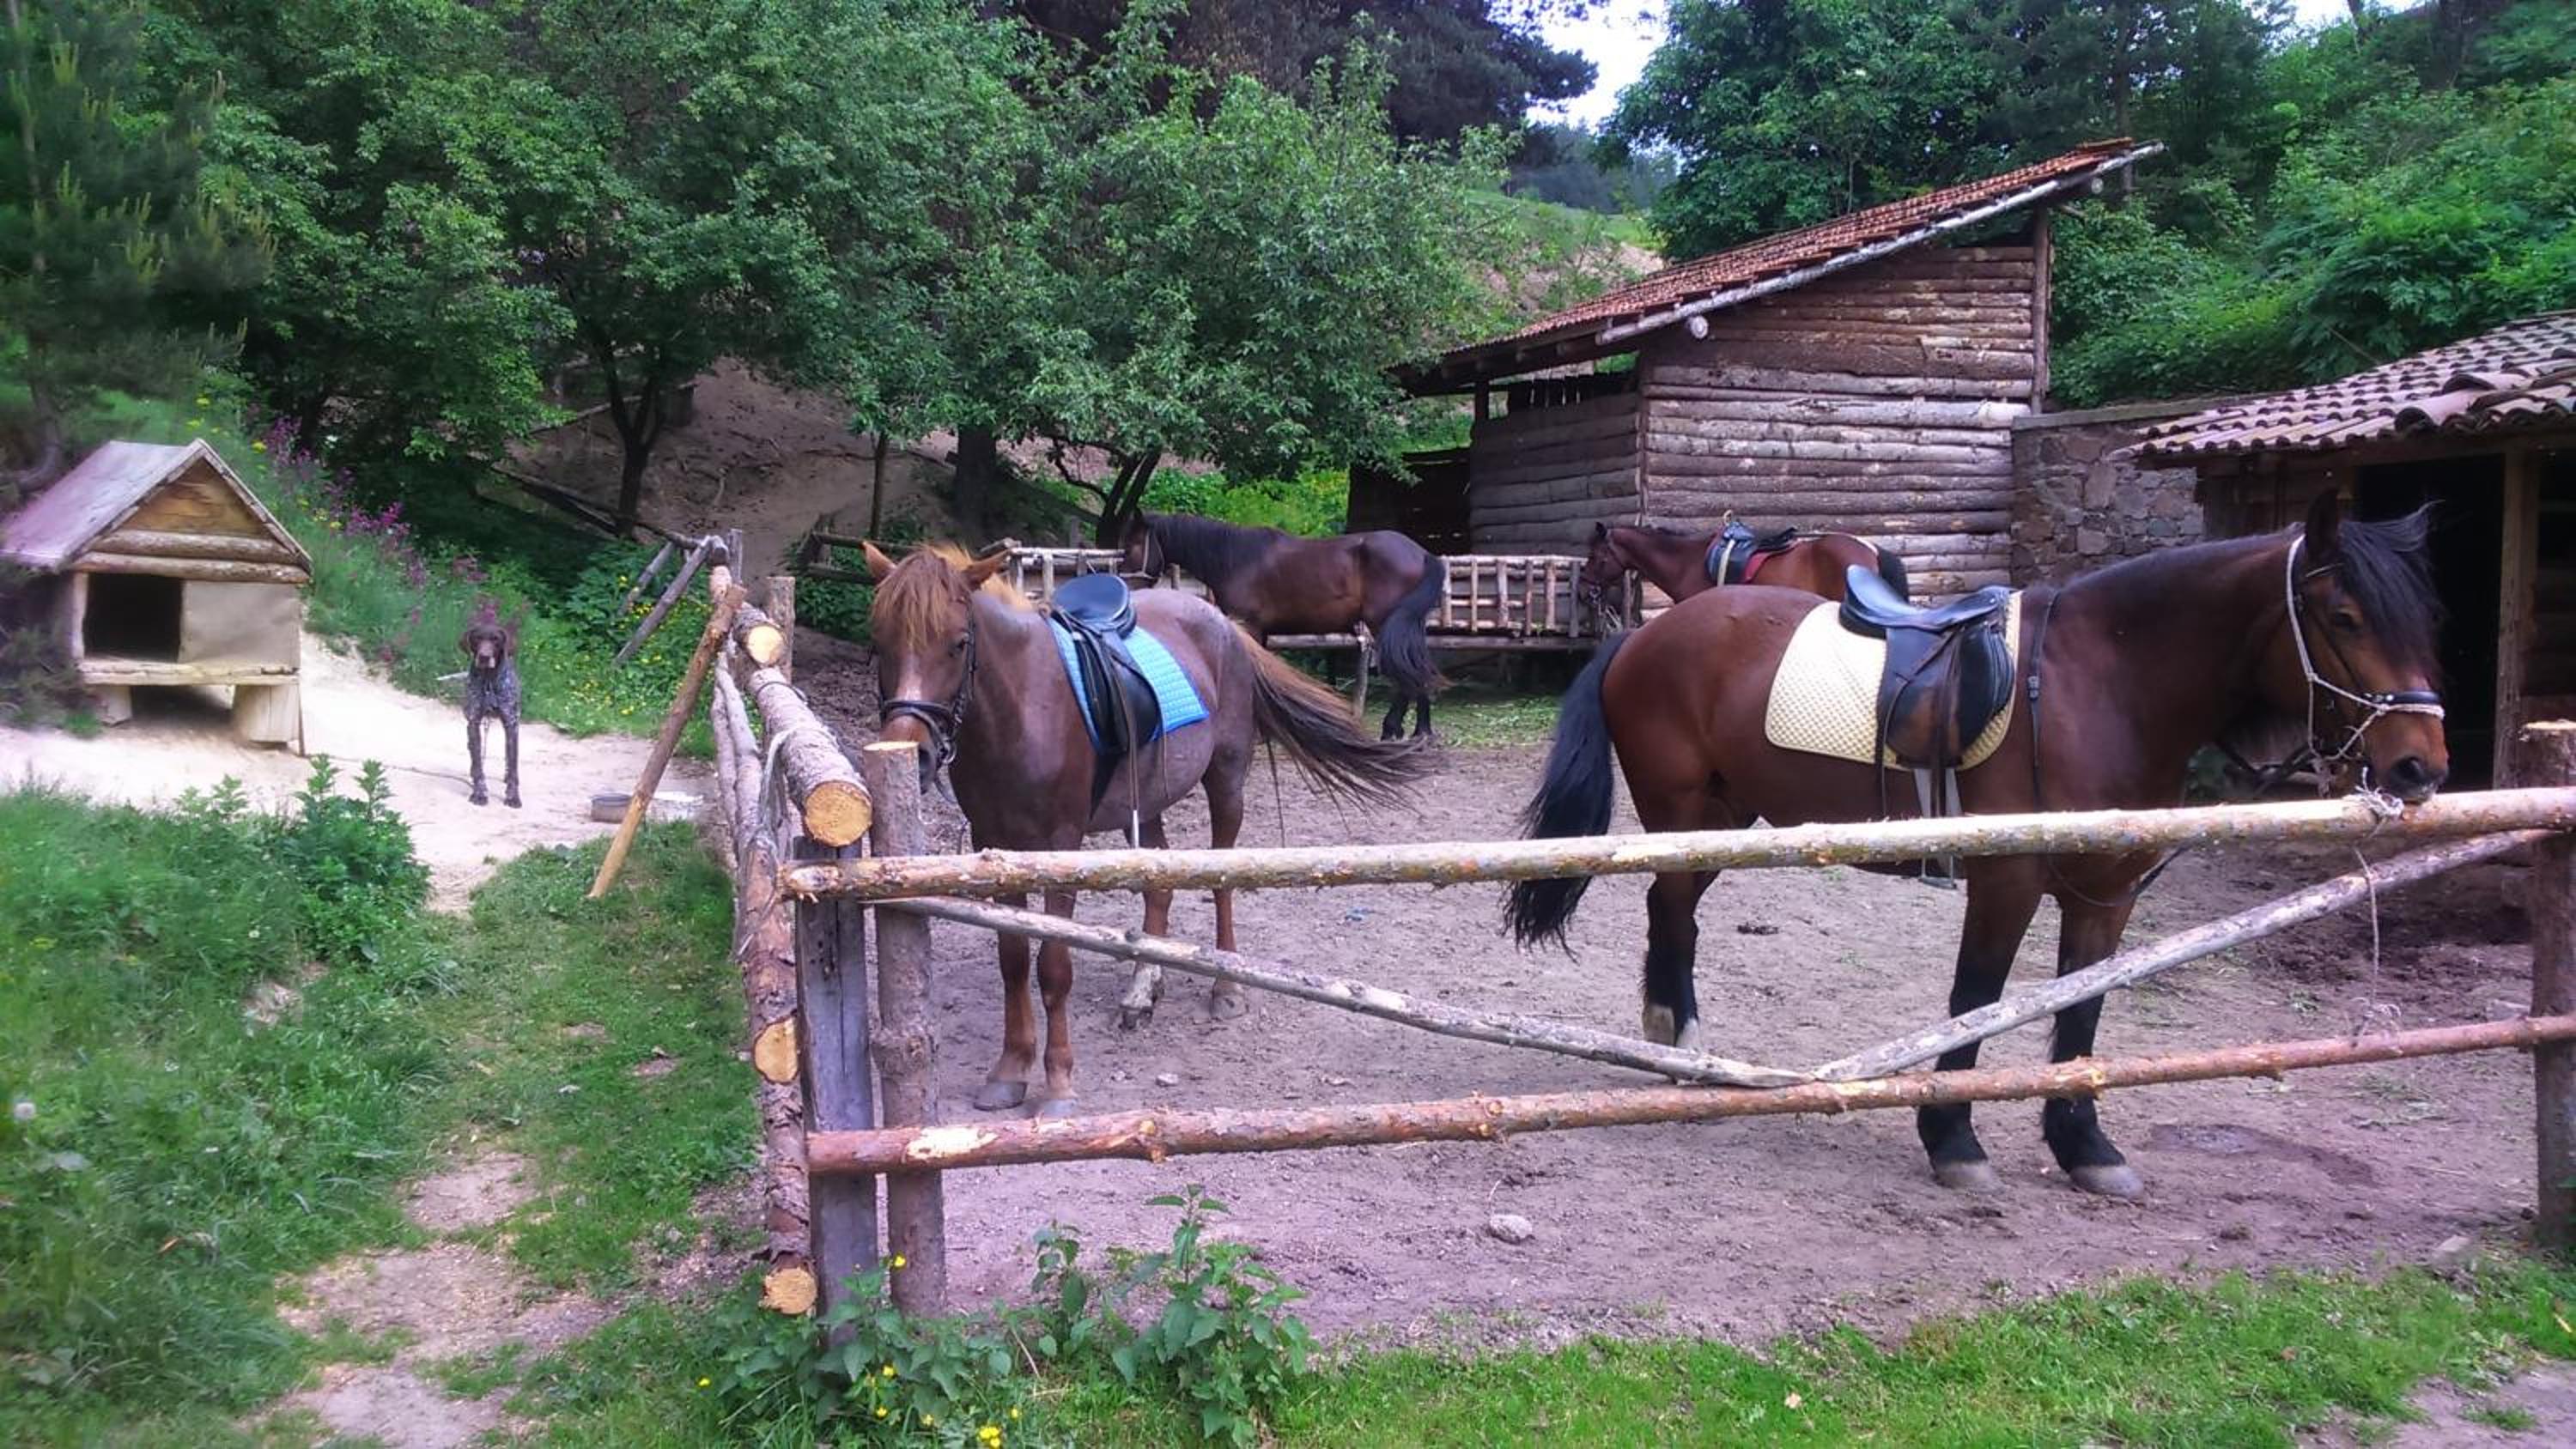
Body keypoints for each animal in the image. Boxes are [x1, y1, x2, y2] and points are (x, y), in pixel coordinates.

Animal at [460, 601, 522, 808]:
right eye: (477, 638)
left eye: (496, 640)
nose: (484, 657)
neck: (489, 681)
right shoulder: (473, 721)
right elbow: (478, 764)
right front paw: (479, 793)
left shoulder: (511, 723)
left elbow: (513, 765)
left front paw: (513, 796)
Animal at [863, 540, 1429, 1116]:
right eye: (879, 643)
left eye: (958, 644)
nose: (915, 753)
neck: (1022, 707)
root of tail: (1224, 624)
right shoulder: (995, 846)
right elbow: (1014, 961)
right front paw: (1010, 1071)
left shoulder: (1062, 848)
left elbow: (1053, 968)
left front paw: (1059, 1085)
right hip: (1149, 798)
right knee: (1160, 887)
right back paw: (1142, 992)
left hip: (1226, 782)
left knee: (1221, 880)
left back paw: (1226, 989)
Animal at [1118, 512, 1448, 740]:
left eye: (1131, 547)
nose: (1125, 587)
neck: (1236, 560)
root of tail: (1421, 554)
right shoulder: (1259, 632)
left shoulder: (1249, 627)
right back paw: (1419, 730)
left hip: (1385, 624)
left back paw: (1394, 729)